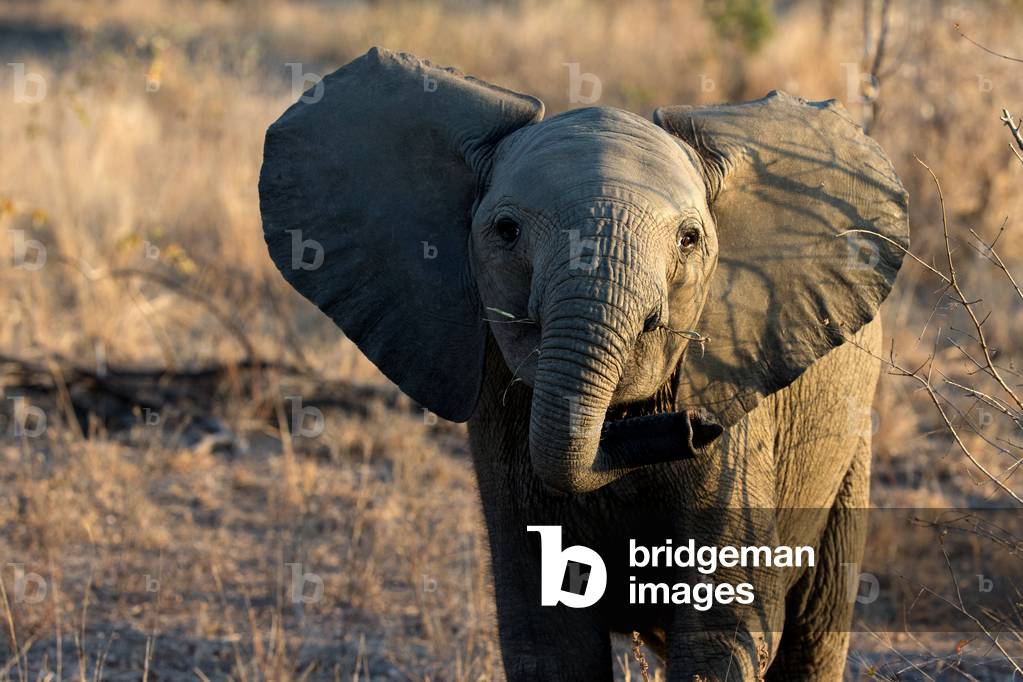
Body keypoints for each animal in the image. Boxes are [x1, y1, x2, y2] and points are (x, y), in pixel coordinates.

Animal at [258, 48, 909, 681]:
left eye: (690, 239)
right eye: (506, 230)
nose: (693, 427)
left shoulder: (736, 402)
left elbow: (725, 631)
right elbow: (548, 637)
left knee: (814, 632)